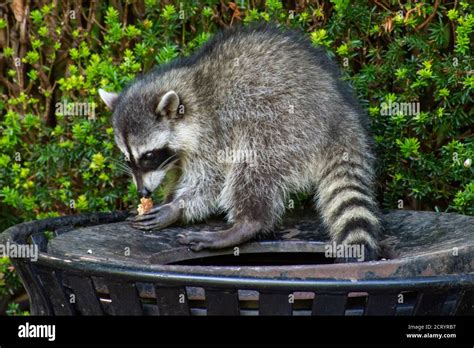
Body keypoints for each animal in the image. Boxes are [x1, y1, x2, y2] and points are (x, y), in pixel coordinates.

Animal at [99, 23, 382, 260]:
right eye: (128, 158)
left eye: (148, 156)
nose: (142, 193)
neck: (190, 88)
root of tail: (340, 116)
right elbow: (179, 174)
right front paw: (169, 197)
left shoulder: (213, 133)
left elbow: (211, 180)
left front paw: (177, 207)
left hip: (286, 125)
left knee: (252, 165)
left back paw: (247, 223)